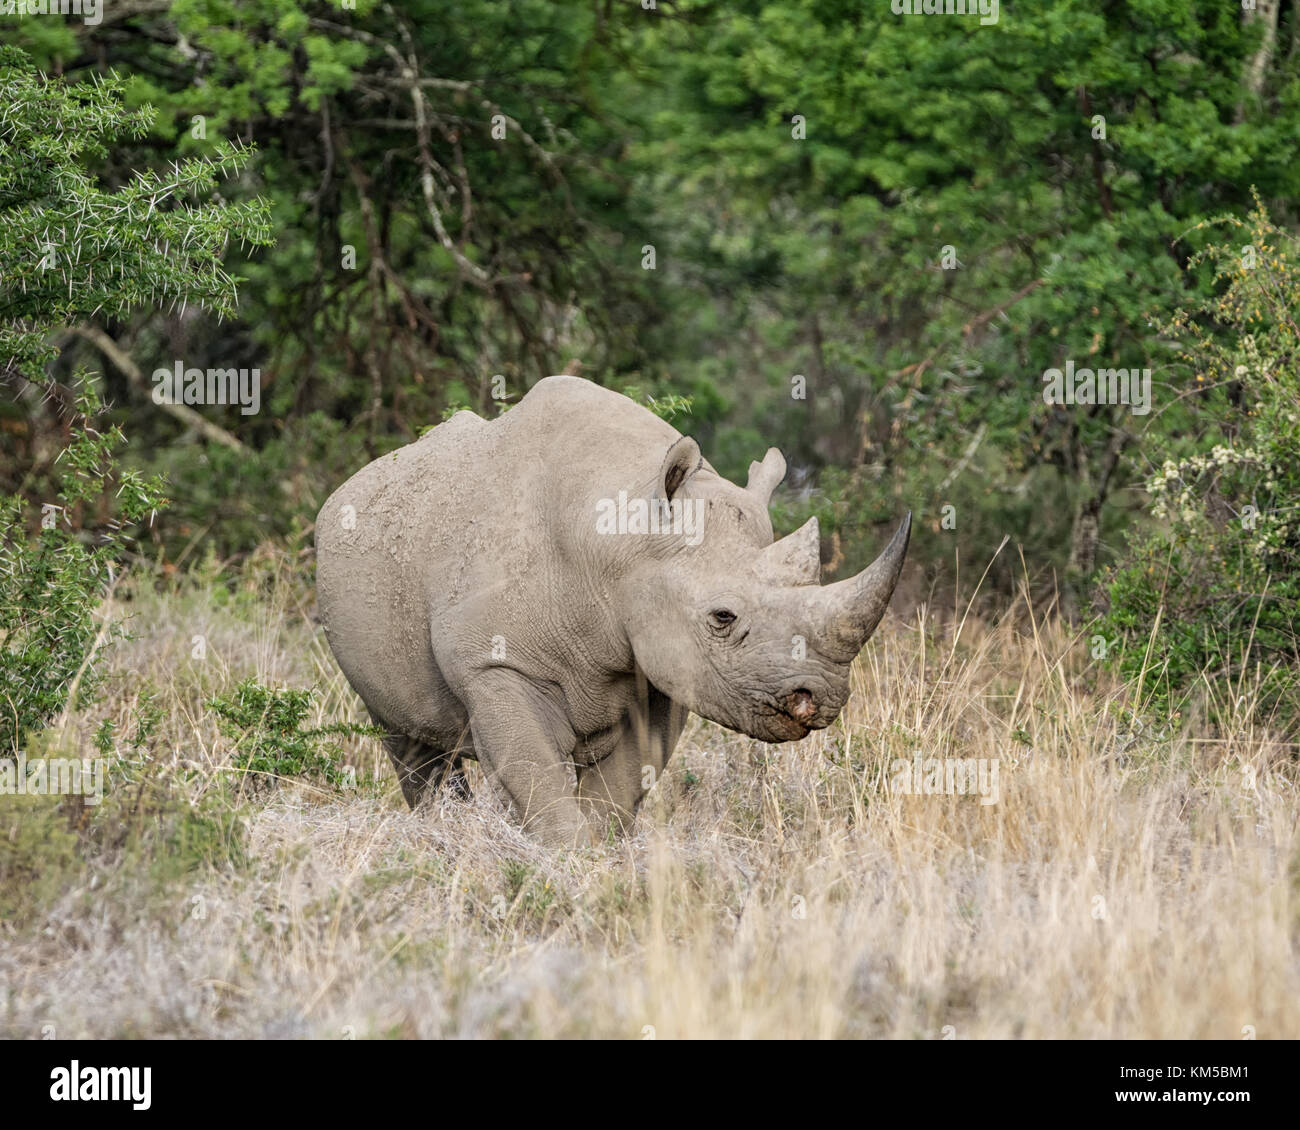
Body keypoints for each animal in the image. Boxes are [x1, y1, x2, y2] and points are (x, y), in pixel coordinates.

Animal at [315, 375, 910, 847]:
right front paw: (564, 868)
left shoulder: (663, 669)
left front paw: (599, 863)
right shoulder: (495, 663)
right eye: (722, 617)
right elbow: (536, 779)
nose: (822, 699)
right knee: (408, 738)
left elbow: (619, 790)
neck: (620, 544)